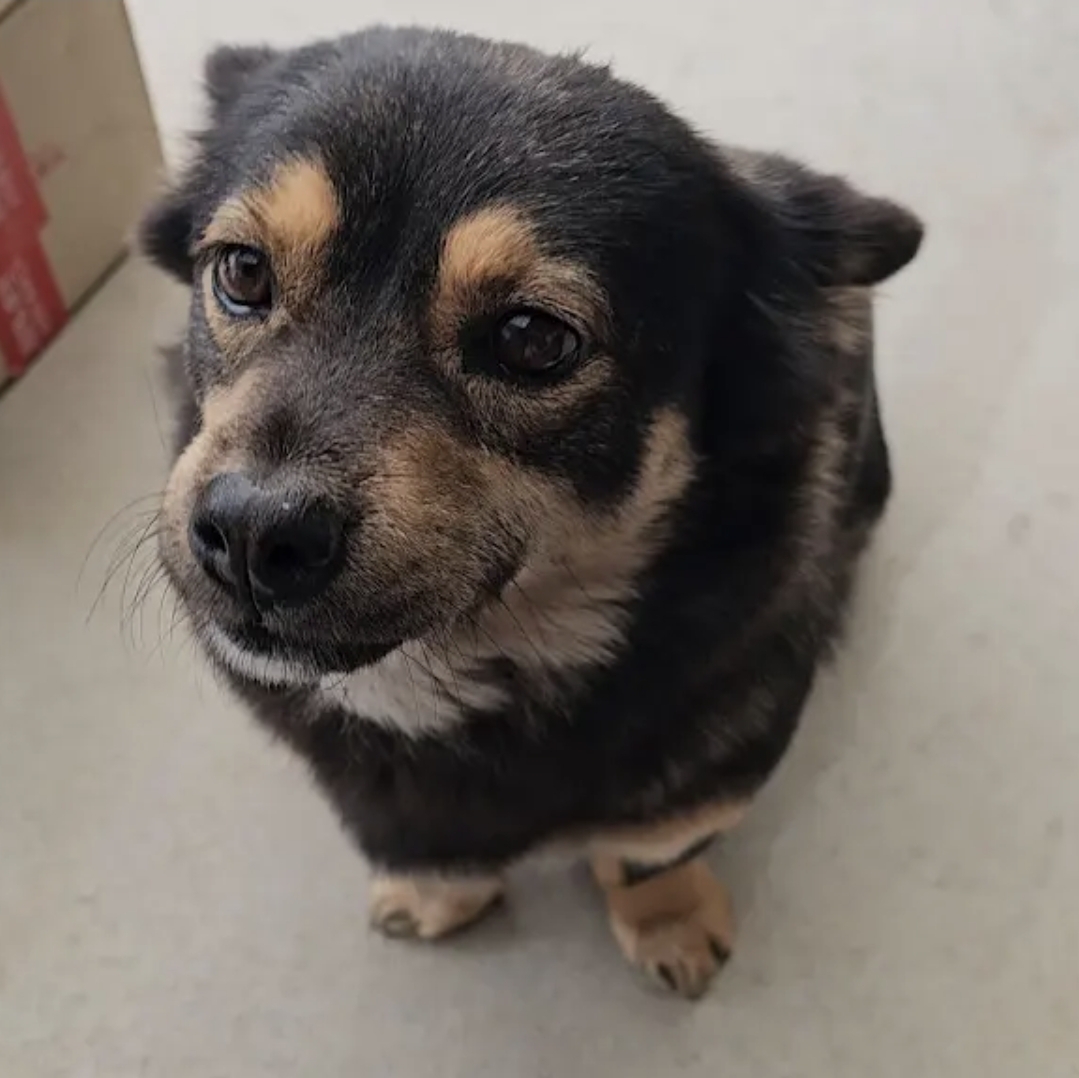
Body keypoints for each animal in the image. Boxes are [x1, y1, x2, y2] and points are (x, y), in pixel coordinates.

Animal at [140, 26, 922, 999]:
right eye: (242, 271)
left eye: (533, 339)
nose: (252, 532)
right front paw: (435, 891)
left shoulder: (708, 776)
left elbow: (651, 849)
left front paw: (667, 917)